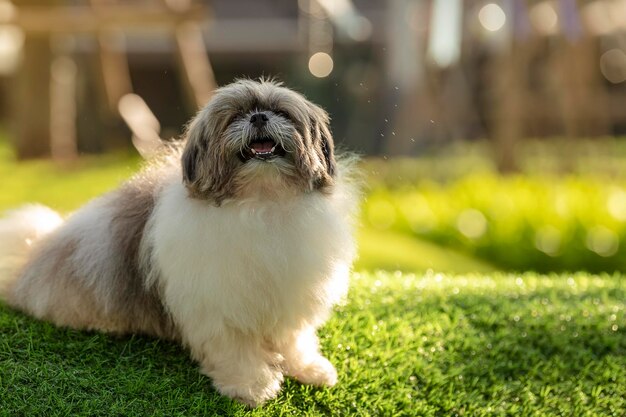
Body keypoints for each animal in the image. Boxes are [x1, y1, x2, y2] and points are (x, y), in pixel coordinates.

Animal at [0, 79, 358, 406]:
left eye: (281, 113)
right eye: (234, 117)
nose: (258, 117)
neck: (263, 200)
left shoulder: (289, 297)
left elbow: (294, 340)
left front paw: (309, 369)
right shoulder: (219, 307)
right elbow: (237, 349)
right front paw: (251, 386)